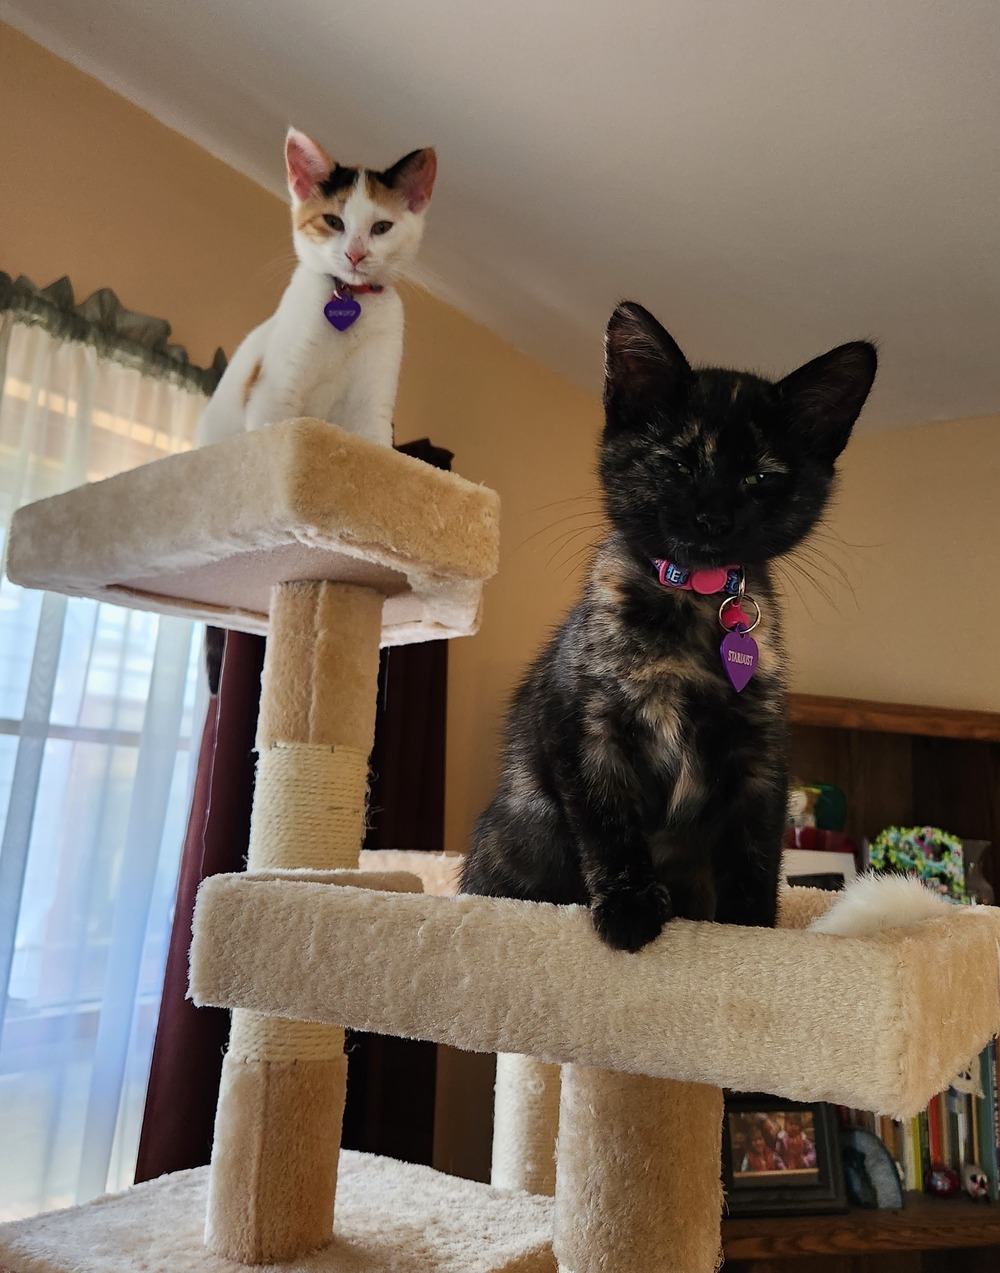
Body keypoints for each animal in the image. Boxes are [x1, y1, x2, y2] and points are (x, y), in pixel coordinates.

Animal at [197, 129, 435, 448]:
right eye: (333, 221)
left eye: (382, 228)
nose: (355, 255)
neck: (350, 295)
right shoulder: (275, 393)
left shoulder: (372, 410)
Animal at [460, 302, 875, 952]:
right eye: (679, 463)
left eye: (761, 477)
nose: (713, 517)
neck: (693, 605)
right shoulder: (587, 731)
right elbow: (610, 828)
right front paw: (629, 910)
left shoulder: (758, 756)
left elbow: (755, 855)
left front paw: (752, 935)